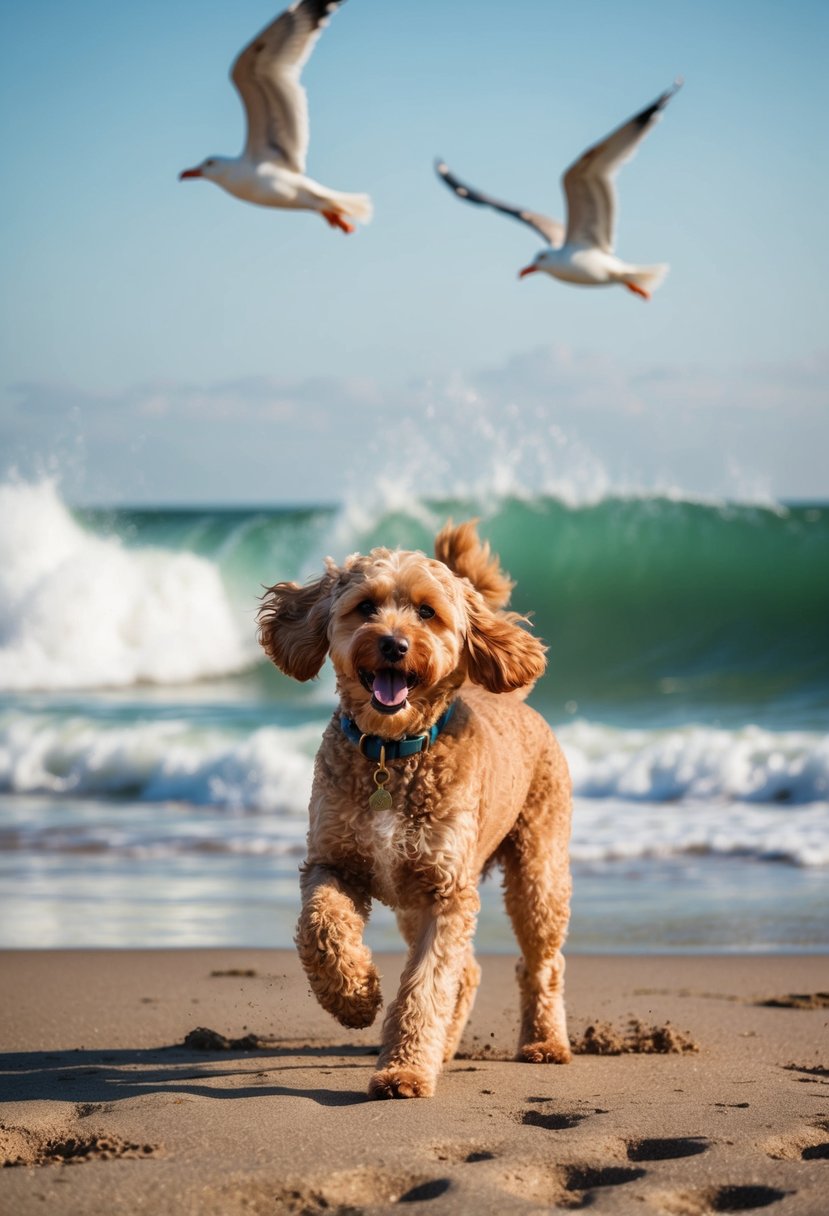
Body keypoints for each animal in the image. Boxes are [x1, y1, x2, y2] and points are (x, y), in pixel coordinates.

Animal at [256, 518, 568, 1099]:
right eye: (365, 606)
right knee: (470, 972)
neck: (390, 753)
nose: (394, 644)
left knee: (542, 963)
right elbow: (320, 929)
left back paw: (544, 1044)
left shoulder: (447, 894)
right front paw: (355, 998)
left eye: (426, 612)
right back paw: (443, 1048)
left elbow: (426, 986)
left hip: (539, 869)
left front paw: (403, 1072)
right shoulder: (334, 862)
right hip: (410, 899)